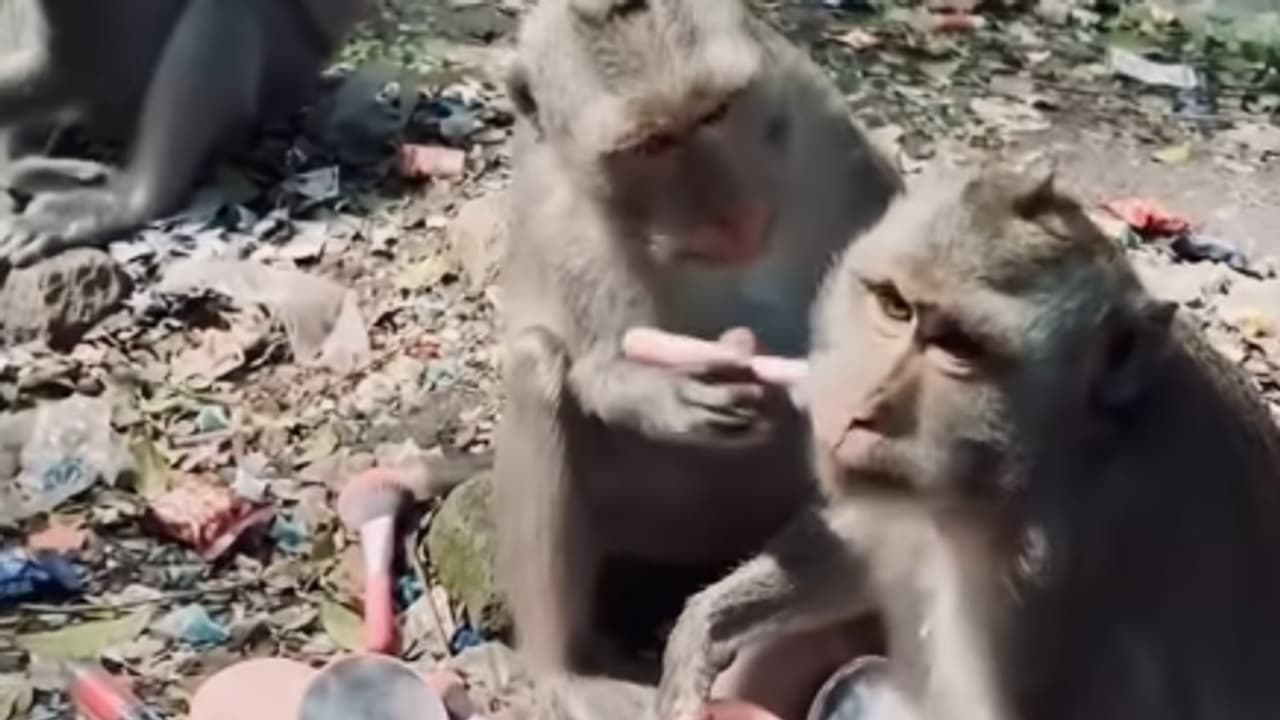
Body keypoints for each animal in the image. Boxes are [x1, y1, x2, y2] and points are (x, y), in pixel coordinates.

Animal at [492, 0, 903, 714]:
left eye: (715, 112)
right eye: (651, 146)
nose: (730, 211)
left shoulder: (822, 122)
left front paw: (706, 629)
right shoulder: (543, 193)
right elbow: (562, 342)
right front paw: (654, 392)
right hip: (650, 523)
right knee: (535, 363)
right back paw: (559, 670)